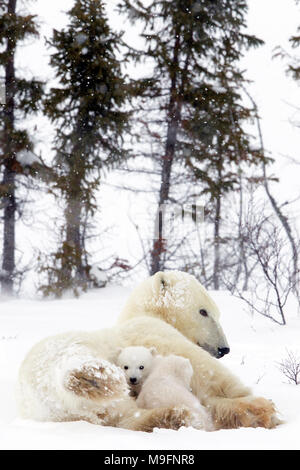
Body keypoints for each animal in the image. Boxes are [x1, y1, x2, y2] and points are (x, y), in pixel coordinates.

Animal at [16, 270, 278, 432]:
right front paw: (256, 403)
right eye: (203, 311)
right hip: (74, 352)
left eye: (217, 313)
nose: (224, 348)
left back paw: (172, 417)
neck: (143, 314)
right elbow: (209, 372)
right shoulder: (152, 331)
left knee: (124, 416)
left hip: (70, 411)